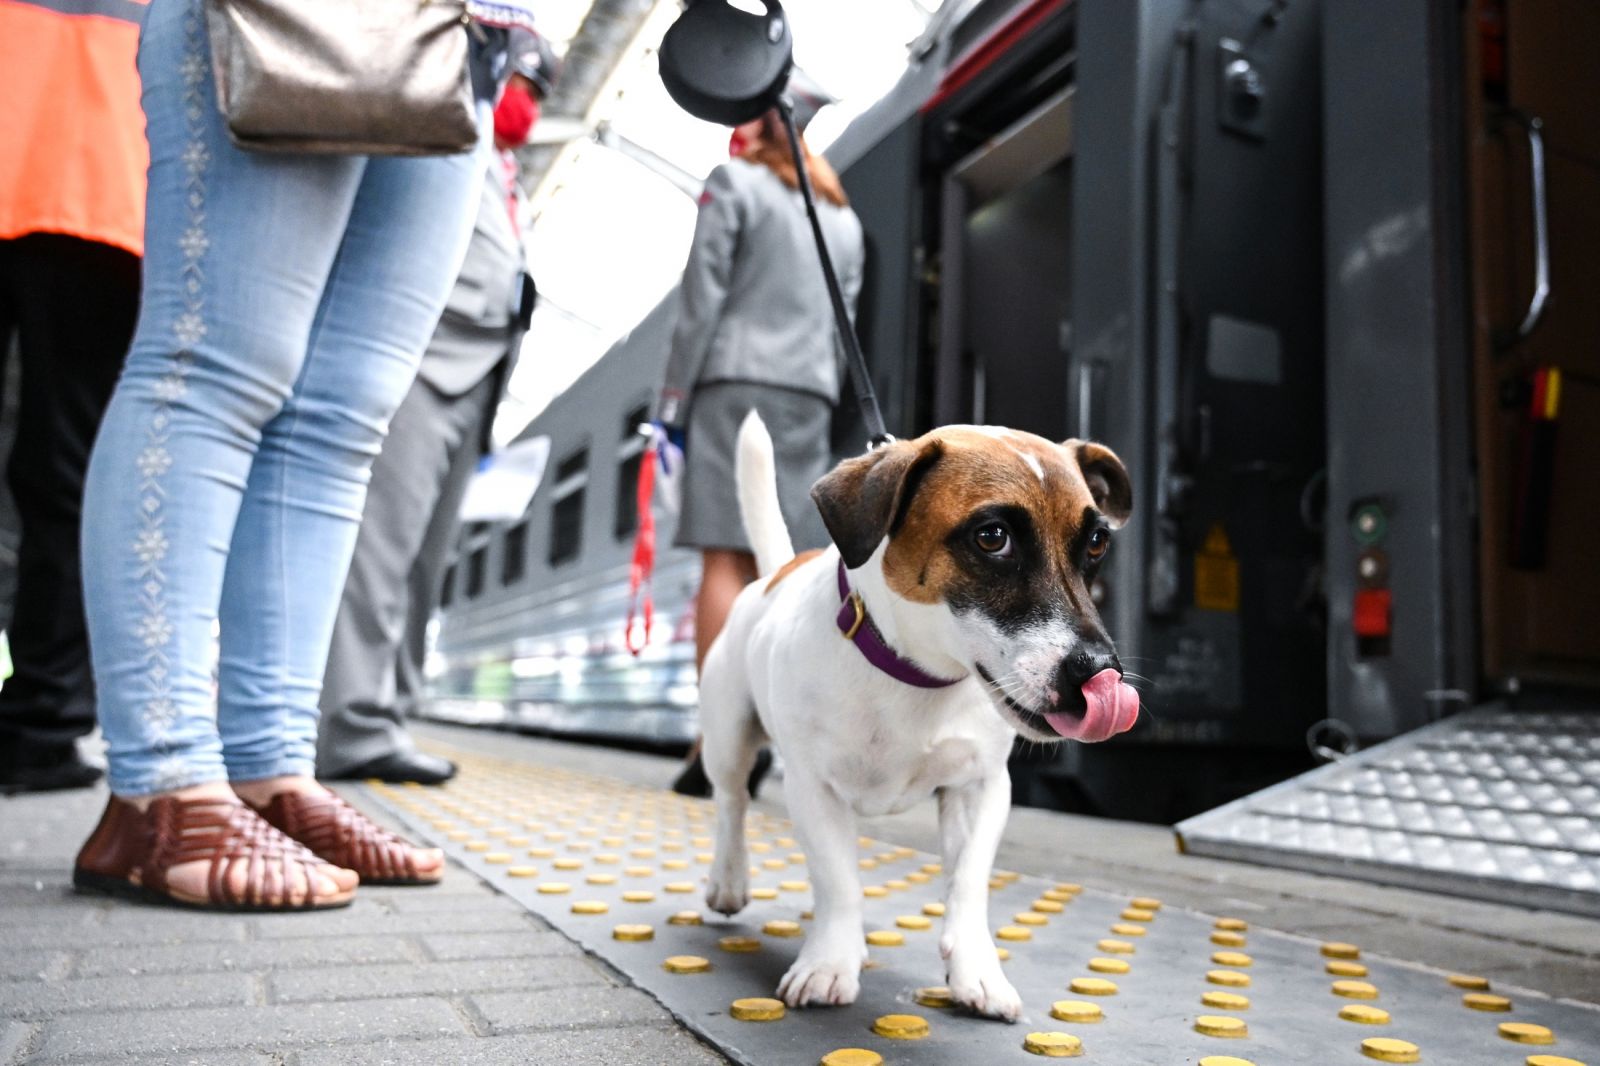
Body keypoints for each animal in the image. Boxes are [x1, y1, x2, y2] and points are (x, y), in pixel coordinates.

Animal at [700, 409, 1139, 1017]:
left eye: (1096, 543)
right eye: (992, 537)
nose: (1100, 672)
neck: (918, 675)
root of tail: (777, 572)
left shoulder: (981, 788)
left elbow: (969, 882)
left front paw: (977, 970)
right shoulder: (813, 788)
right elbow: (838, 882)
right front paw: (829, 963)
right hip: (728, 738)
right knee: (732, 802)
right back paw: (728, 878)